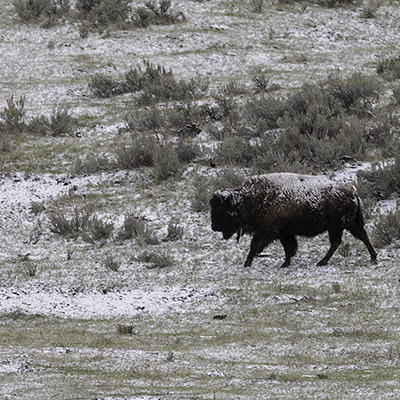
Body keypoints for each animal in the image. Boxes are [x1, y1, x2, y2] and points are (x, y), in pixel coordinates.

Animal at [211, 173, 376, 268]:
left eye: (219, 208)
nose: (213, 227)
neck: (250, 198)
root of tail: (352, 191)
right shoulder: (284, 233)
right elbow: (288, 248)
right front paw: (285, 263)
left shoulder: (266, 230)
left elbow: (255, 245)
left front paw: (247, 262)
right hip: (346, 225)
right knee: (359, 237)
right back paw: (373, 258)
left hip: (339, 225)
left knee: (340, 241)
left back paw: (322, 262)